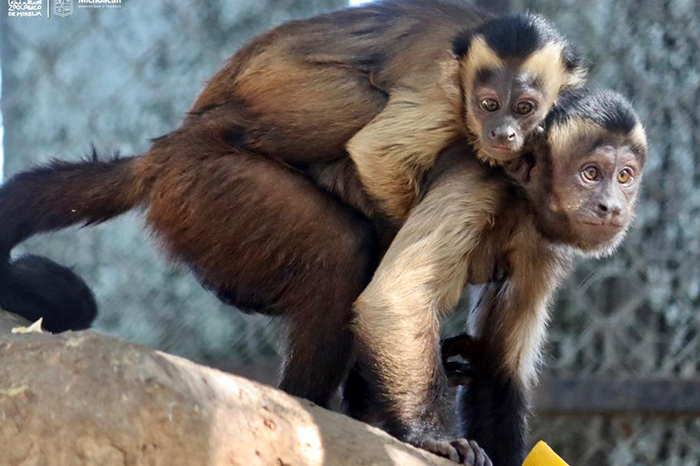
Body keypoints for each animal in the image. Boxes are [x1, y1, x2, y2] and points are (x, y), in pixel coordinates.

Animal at [0, 1, 592, 464]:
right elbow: (379, 157)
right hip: (213, 186)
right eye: (489, 104)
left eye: (525, 107)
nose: (502, 133)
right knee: (344, 237)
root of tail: (170, 149)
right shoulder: (445, 94)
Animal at [352, 88, 648, 466]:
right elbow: (398, 297)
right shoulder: (477, 181)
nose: (611, 207)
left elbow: (498, 365)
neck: (518, 195)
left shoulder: (540, 246)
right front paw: (427, 435)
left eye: (625, 177)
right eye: (591, 173)